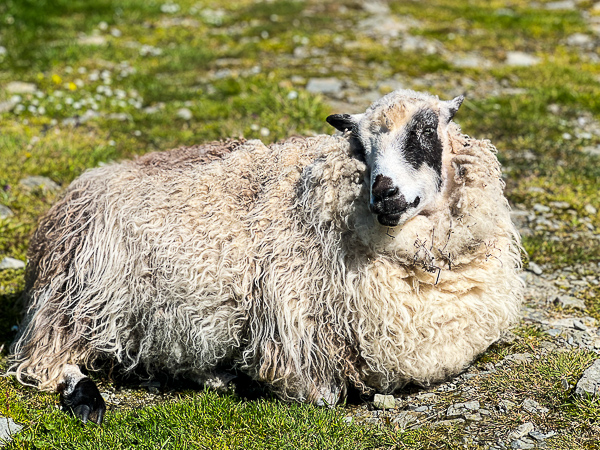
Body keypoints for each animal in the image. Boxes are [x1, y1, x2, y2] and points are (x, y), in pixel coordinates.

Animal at [10, 89, 524, 424]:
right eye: (359, 145)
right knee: (45, 359)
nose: (384, 193)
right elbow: (323, 395)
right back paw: (86, 399)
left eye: (424, 132)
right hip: (81, 295)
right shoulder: (294, 333)